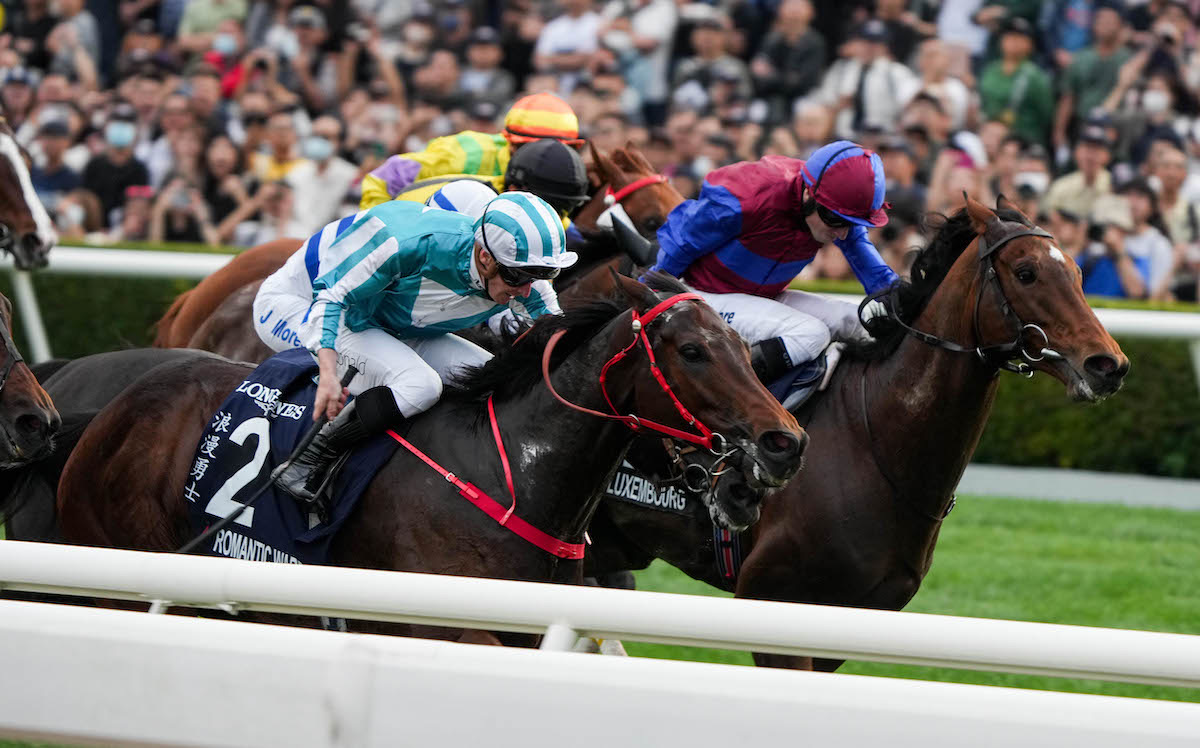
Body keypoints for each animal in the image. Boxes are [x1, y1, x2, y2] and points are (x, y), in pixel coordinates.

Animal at [58, 278, 806, 638]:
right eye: (694, 351)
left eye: (750, 350)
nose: (786, 442)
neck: (508, 476)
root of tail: (110, 413)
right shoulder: (438, 626)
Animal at [580, 195, 1123, 672]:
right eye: (1026, 272)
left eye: (1078, 274)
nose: (1108, 365)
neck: (875, 444)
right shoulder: (771, 596)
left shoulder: (852, 616)